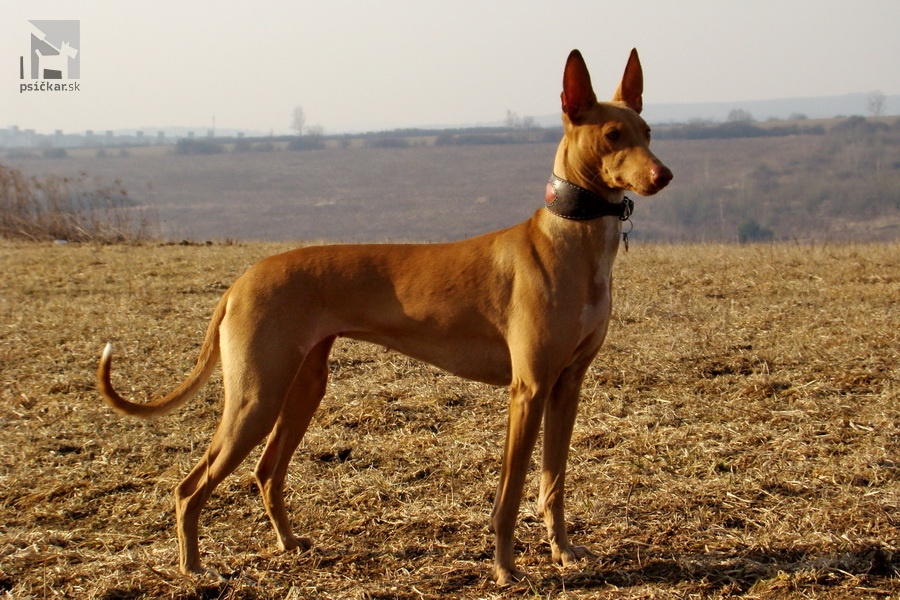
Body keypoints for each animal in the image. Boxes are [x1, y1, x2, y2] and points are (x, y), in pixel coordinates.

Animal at [102, 50, 672, 584]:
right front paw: (505, 569)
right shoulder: (528, 389)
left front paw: (563, 552)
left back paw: (287, 543)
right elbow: (509, 495)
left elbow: (553, 482)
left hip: (302, 388)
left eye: (647, 132)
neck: (570, 240)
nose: (662, 175)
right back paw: (193, 568)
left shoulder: (566, 386)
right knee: (188, 486)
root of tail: (241, 281)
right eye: (612, 134)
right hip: (256, 398)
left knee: (265, 472)